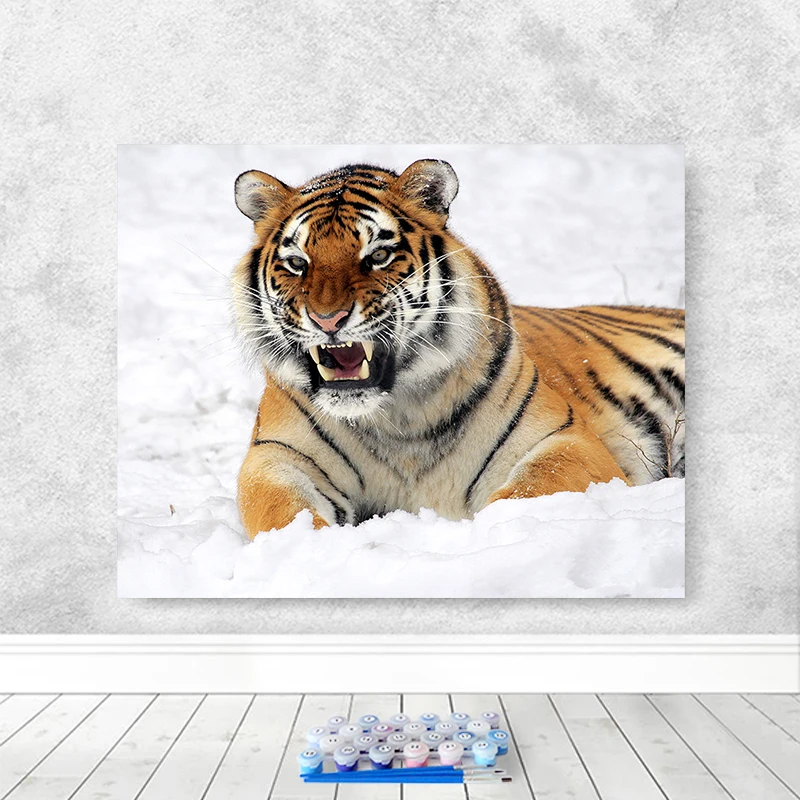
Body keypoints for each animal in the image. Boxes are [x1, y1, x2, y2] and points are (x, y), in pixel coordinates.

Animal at [231, 159, 685, 539]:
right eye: (297, 263)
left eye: (378, 255)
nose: (327, 319)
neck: (398, 418)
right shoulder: (275, 457)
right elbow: (282, 512)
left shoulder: (565, 439)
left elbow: (526, 492)